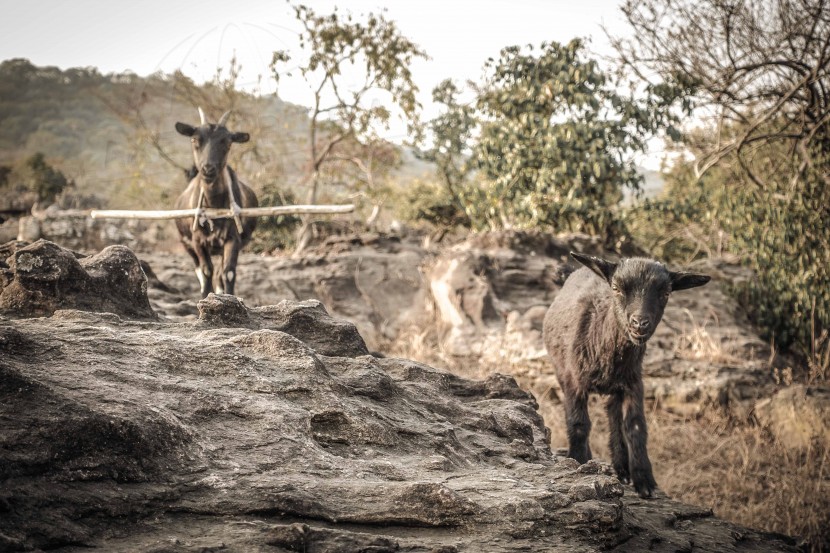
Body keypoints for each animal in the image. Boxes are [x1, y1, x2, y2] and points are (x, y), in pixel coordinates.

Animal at [178, 108, 260, 298]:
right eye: (194, 140)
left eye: (228, 143)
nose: (208, 169)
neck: (213, 206)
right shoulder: (197, 240)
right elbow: (206, 270)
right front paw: (204, 297)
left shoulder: (233, 239)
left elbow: (228, 272)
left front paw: (229, 297)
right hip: (186, 244)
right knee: (200, 270)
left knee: (219, 271)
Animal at [544, 250, 712, 496]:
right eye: (616, 288)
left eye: (666, 293)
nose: (640, 324)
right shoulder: (574, 380)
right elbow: (579, 424)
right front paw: (579, 462)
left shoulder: (634, 382)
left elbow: (635, 425)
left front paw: (644, 479)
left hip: (617, 387)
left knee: (613, 415)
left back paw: (622, 468)